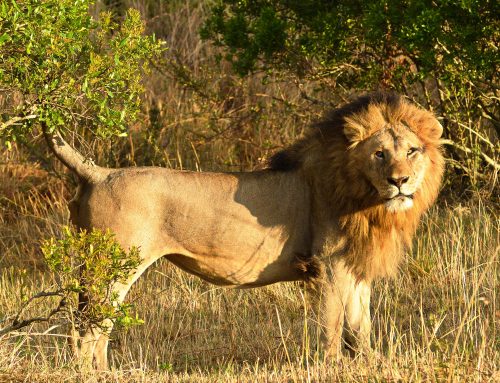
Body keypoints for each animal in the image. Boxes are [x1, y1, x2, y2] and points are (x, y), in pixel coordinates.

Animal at [42, 91, 442, 368]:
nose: (400, 181)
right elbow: (332, 325)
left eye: (412, 150)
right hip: (113, 268)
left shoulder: (355, 267)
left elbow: (361, 327)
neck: (367, 200)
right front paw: (332, 367)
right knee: (88, 329)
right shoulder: (327, 265)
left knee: (90, 327)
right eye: (379, 153)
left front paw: (369, 364)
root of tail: (98, 172)